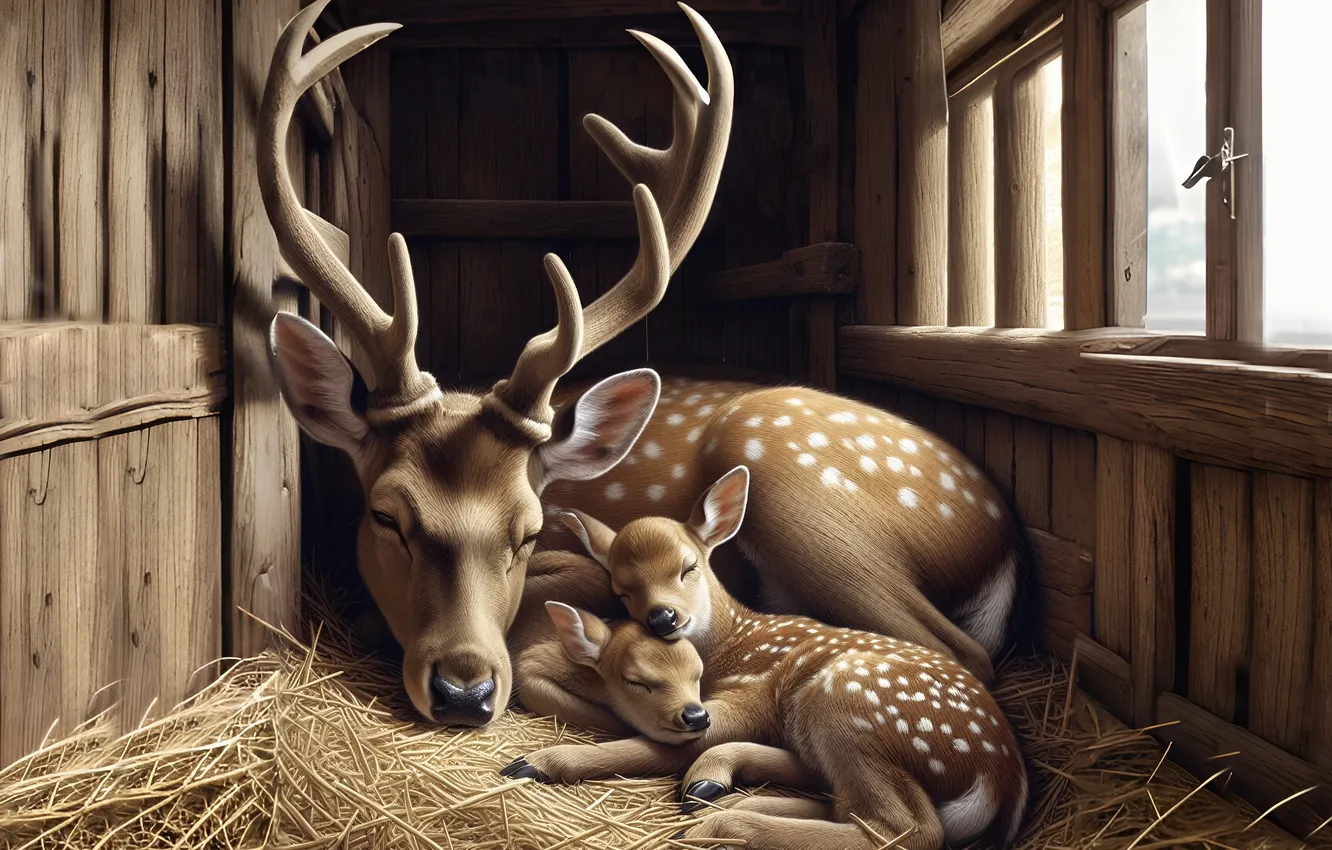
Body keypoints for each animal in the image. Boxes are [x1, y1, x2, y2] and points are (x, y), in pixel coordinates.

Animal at [259, 0, 1027, 730]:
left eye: (531, 528)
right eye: (385, 515)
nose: (463, 691)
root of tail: (1000, 535)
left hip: (803, 490)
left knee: (958, 648)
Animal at [502, 466, 1030, 850]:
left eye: (688, 567)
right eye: (621, 589)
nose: (662, 617)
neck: (732, 642)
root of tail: (1001, 779)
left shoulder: (747, 696)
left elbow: (659, 743)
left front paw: (535, 762)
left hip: (846, 703)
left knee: (904, 829)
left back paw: (714, 823)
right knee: (847, 803)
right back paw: (714, 797)